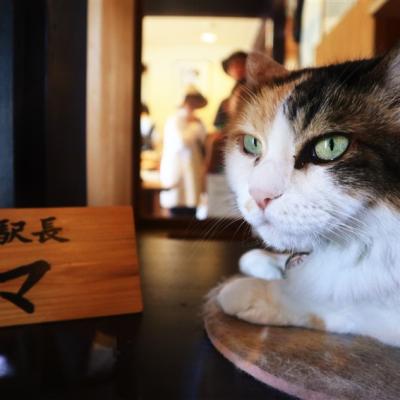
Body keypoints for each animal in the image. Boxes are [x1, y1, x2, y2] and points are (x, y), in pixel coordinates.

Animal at [217, 44, 400, 346]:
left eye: (331, 146)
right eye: (252, 144)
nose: (260, 194)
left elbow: (337, 299)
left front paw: (255, 292)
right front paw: (265, 261)